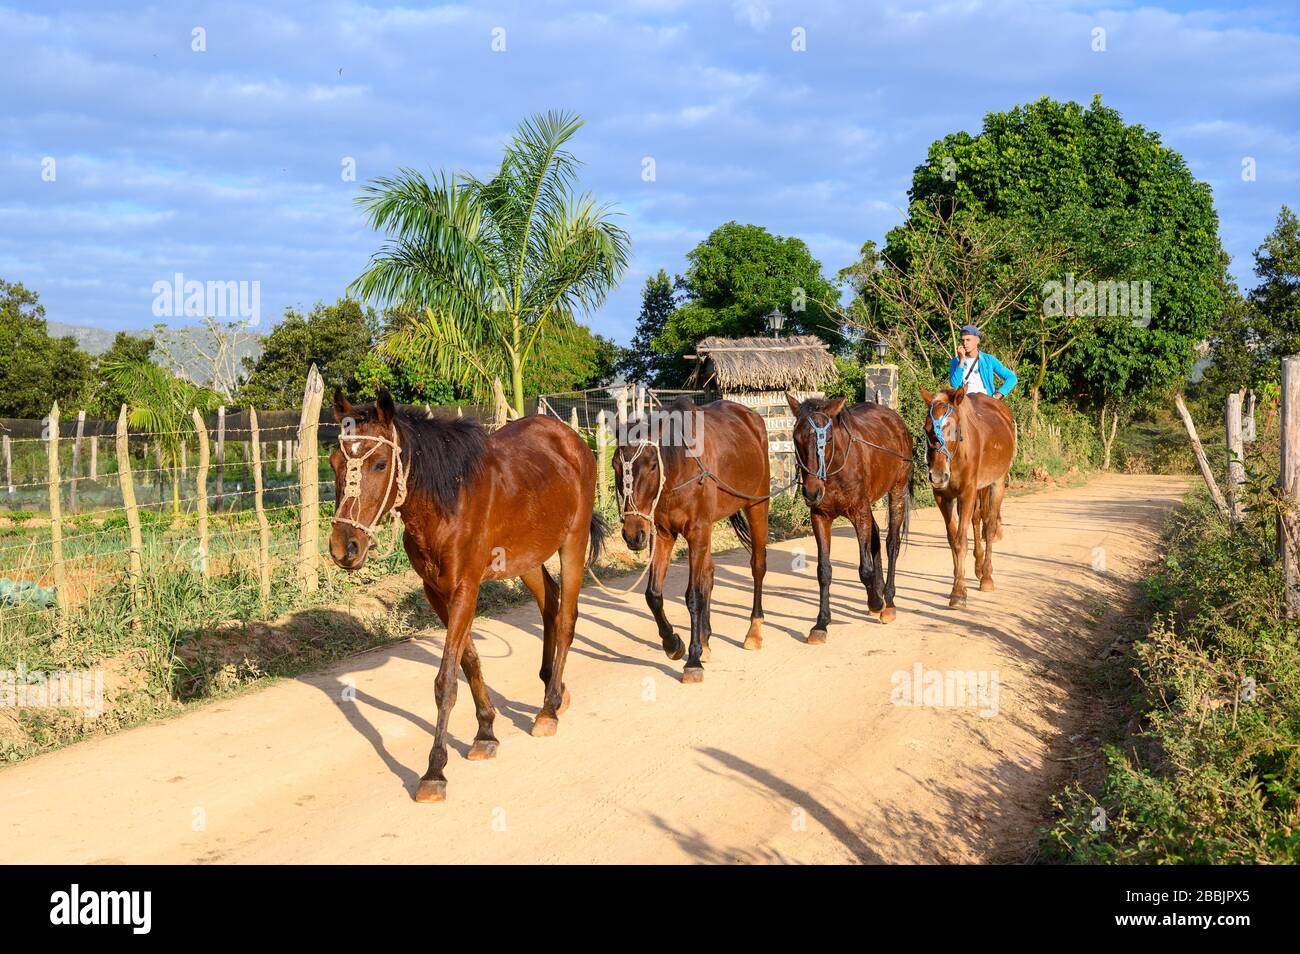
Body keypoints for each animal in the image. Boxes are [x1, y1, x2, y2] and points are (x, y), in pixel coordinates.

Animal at [327, 388, 605, 803]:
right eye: (334, 463)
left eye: (379, 463)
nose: (344, 547)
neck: (447, 502)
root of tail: (571, 439)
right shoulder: (436, 592)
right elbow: (470, 661)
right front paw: (486, 732)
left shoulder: (465, 588)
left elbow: (445, 681)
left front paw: (435, 770)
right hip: (526, 558)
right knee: (550, 603)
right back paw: (552, 689)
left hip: (572, 542)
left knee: (568, 617)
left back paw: (549, 709)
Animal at [612, 397, 769, 683]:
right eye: (615, 466)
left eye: (653, 465)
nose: (633, 533)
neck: (679, 471)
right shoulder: (663, 534)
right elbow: (654, 595)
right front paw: (673, 643)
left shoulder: (697, 532)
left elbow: (694, 596)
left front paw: (693, 660)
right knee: (708, 575)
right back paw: (706, 640)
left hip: (757, 506)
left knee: (758, 566)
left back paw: (754, 631)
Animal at [787, 394, 914, 643]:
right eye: (796, 439)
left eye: (826, 439)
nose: (811, 492)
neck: (834, 470)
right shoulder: (820, 516)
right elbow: (824, 571)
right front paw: (821, 623)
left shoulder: (858, 511)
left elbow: (865, 569)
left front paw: (875, 601)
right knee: (875, 536)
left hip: (898, 489)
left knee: (891, 543)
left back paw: (888, 600)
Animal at [918, 385, 1016, 608]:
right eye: (927, 429)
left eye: (954, 429)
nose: (937, 475)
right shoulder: (942, 496)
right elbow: (953, 539)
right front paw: (958, 579)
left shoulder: (968, 492)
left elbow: (961, 540)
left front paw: (958, 592)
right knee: (977, 519)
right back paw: (979, 567)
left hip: (996, 483)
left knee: (989, 525)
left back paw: (986, 576)